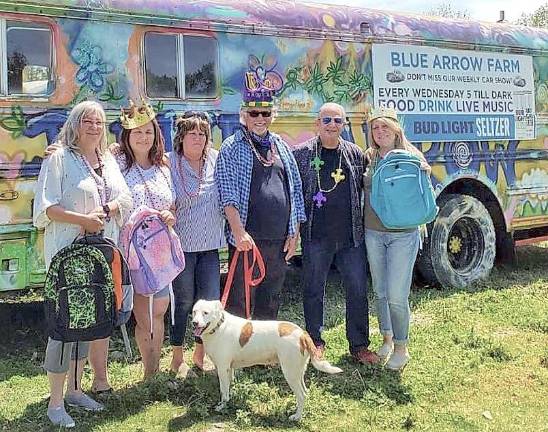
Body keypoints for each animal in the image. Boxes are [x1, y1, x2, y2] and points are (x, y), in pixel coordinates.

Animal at [193, 300, 342, 418]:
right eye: (194, 311)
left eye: (205, 313)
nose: (194, 323)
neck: (219, 327)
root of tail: (302, 334)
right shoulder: (229, 369)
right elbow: (228, 388)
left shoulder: (223, 369)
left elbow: (224, 391)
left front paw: (222, 406)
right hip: (298, 371)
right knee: (305, 392)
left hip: (290, 372)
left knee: (301, 395)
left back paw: (297, 417)